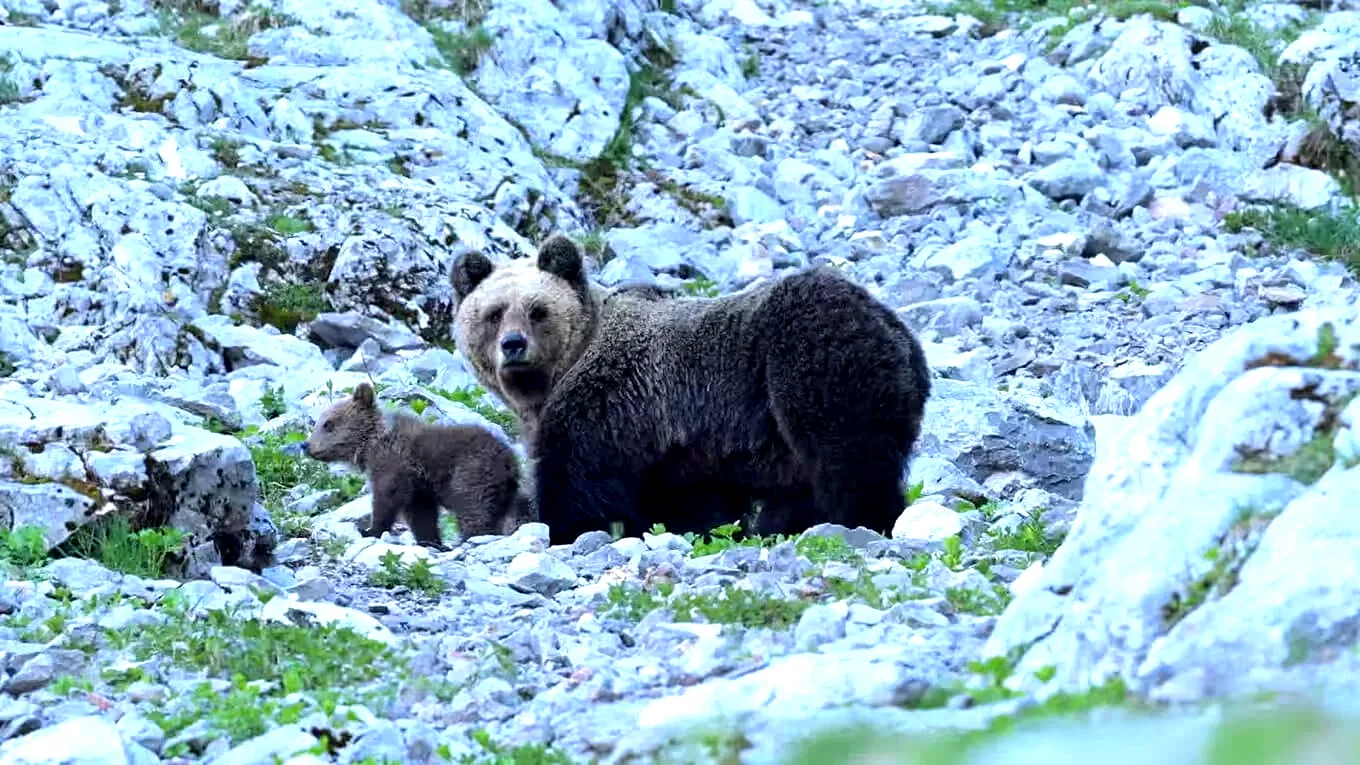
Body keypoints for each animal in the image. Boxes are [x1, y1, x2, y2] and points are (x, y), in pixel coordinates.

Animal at [302, 382, 533, 549]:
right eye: (319, 422)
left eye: (328, 424)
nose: (305, 445)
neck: (371, 444)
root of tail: (510, 461)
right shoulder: (419, 487)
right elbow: (421, 515)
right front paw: (431, 541)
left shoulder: (394, 465)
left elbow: (386, 498)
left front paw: (370, 530)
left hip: (471, 473)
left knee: (475, 511)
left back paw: (471, 537)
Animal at [450, 233, 933, 546]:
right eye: (494, 312)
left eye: (538, 310)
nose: (513, 345)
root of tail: (898, 331)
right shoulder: (681, 448)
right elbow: (692, 504)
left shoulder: (608, 405)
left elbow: (579, 482)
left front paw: (560, 529)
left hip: (810, 358)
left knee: (846, 456)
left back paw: (862, 522)